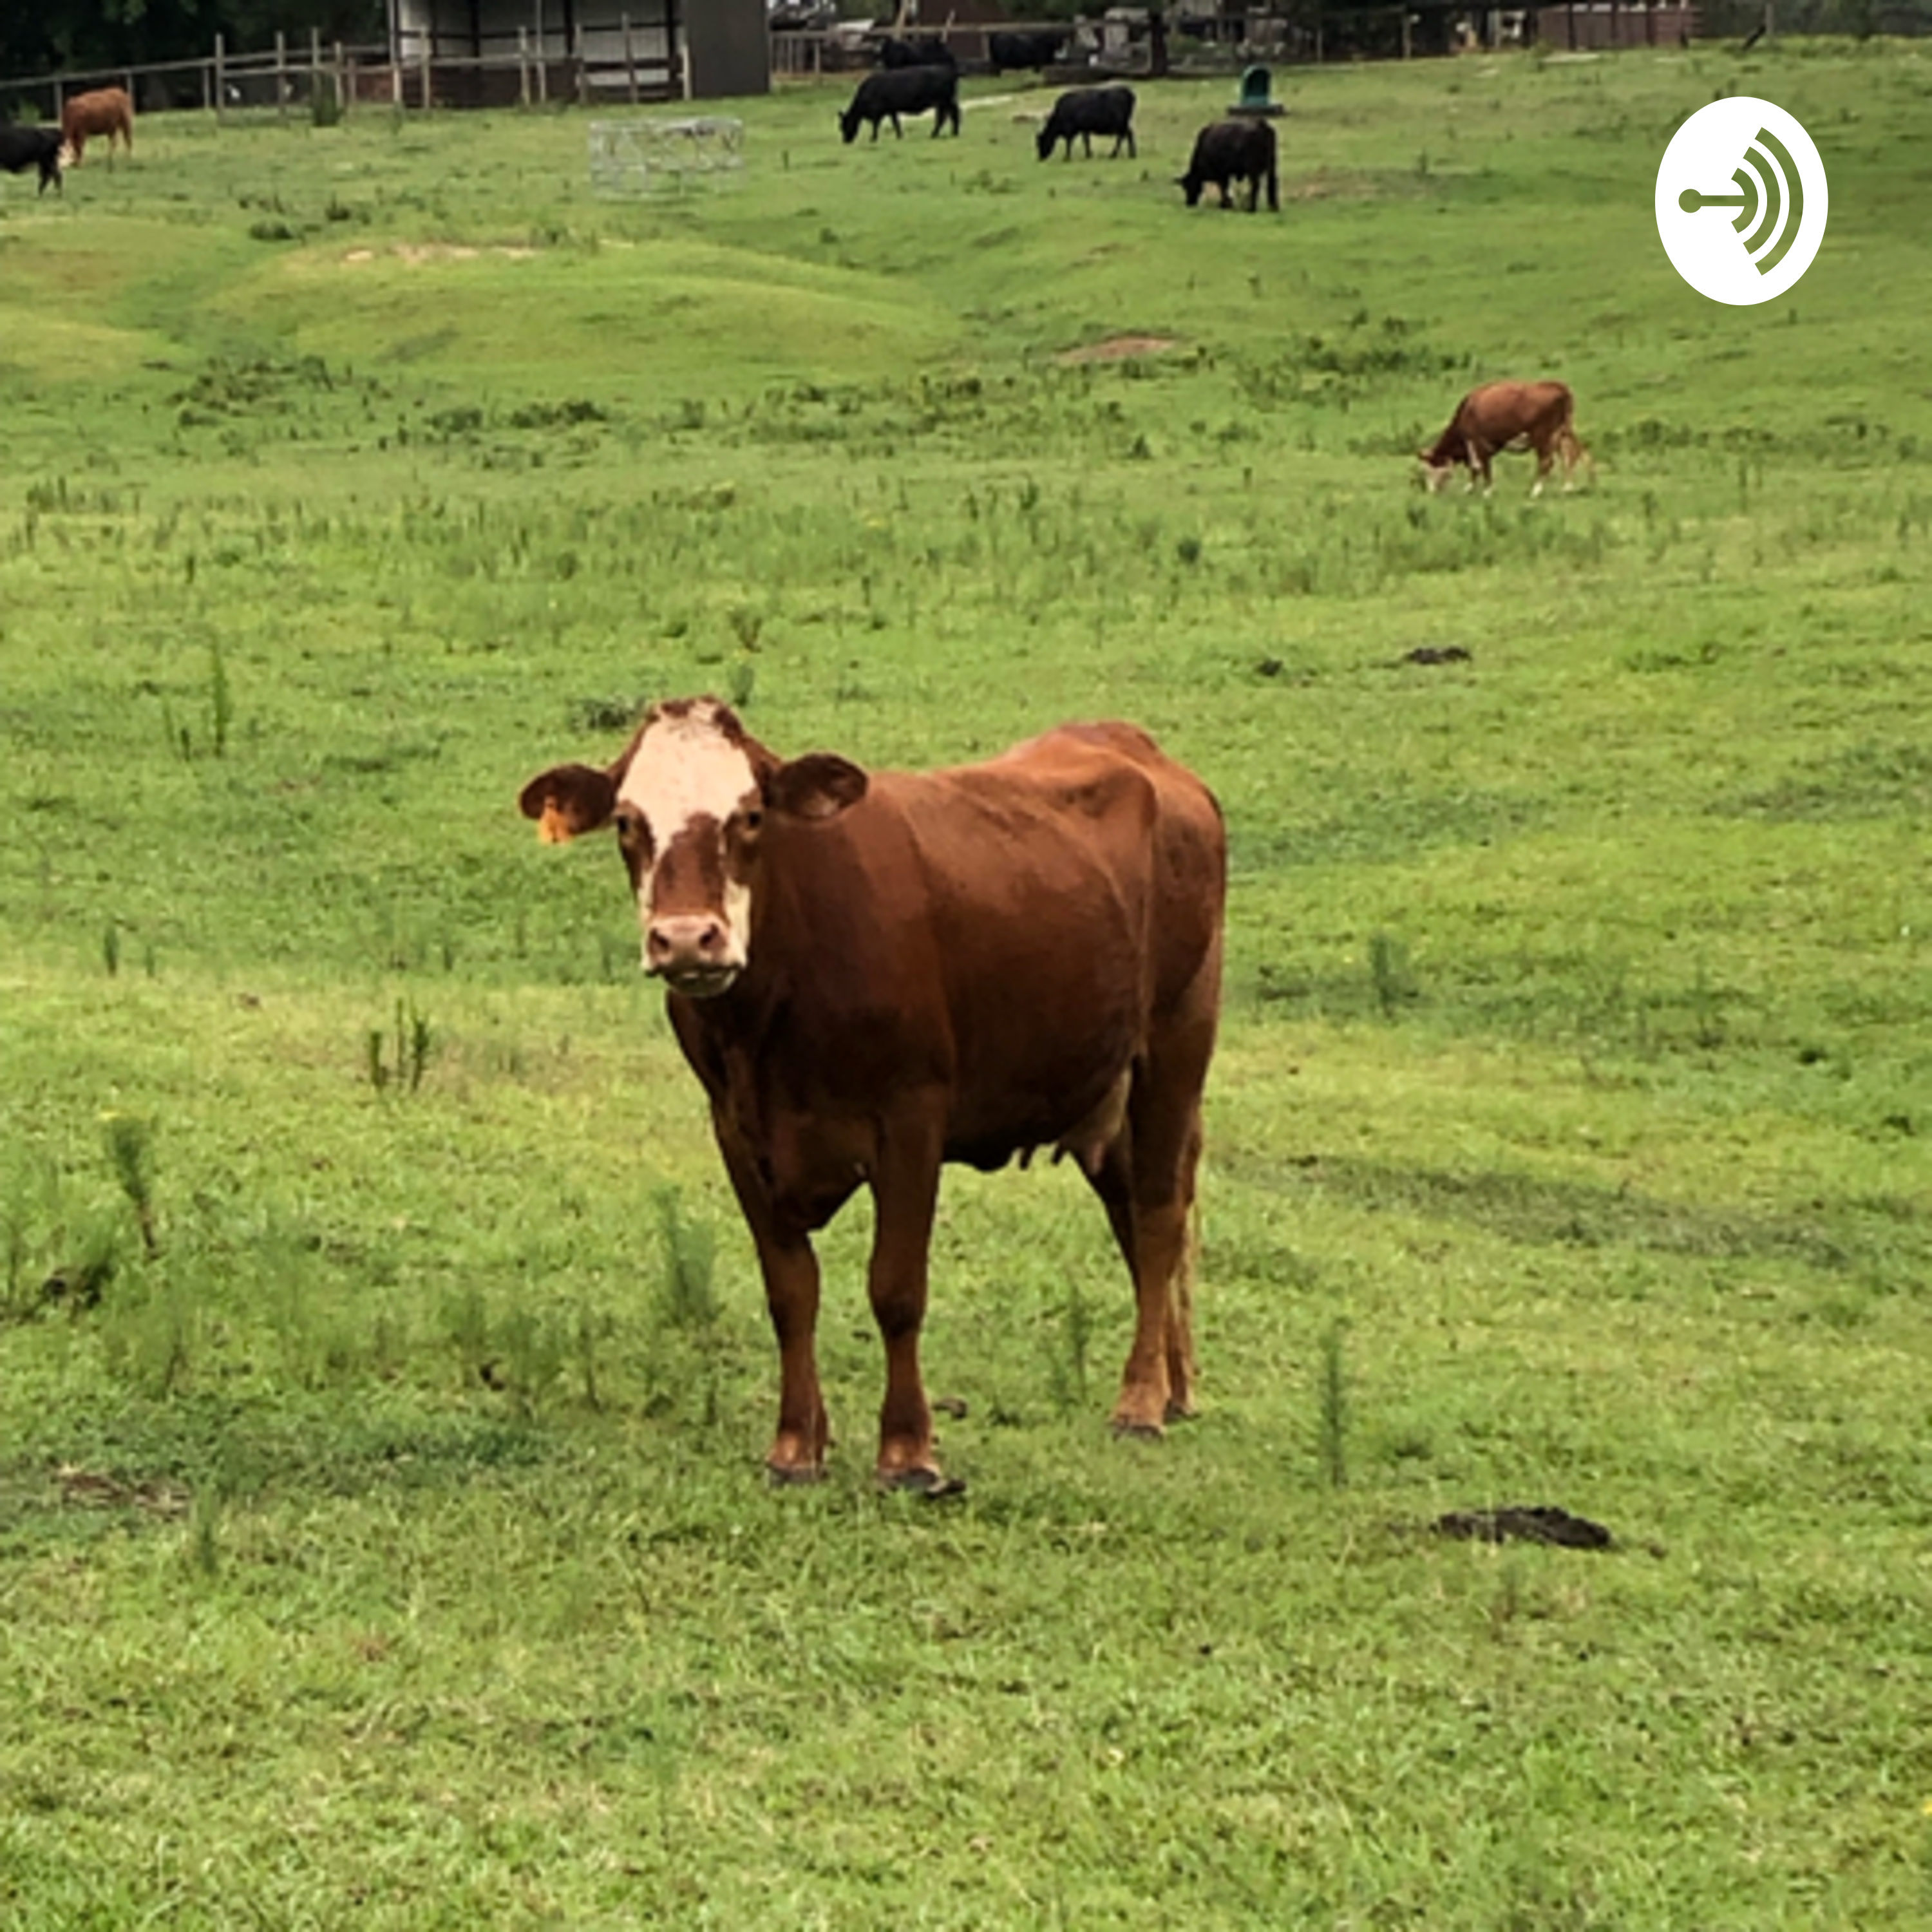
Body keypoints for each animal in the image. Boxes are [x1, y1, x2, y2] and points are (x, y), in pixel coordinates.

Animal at [519, 699, 1226, 1491]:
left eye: (751, 816)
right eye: (626, 822)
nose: (687, 940)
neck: (771, 1015)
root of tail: (1138, 749)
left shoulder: (912, 1118)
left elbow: (895, 1290)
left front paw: (908, 1452)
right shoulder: (736, 1129)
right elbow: (790, 1291)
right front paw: (796, 1445)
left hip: (1175, 1044)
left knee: (1160, 1217)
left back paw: (1140, 1402)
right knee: (1132, 1216)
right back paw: (1172, 1387)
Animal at [838, 64, 961, 143]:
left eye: (846, 125)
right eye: (841, 127)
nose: (845, 141)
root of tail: (949, 71)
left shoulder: (877, 112)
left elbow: (876, 125)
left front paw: (873, 138)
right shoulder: (891, 110)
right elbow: (896, 123)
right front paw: (900, 136)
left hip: (944, 101)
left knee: (945, 117)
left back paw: (935, 135)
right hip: (947, 101)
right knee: (953, 114)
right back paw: (952, 133)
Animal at [1036, 86, 1137, 162]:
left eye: (1041, 143)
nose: (1040, 158)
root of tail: (1127, 92)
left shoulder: (1070, 129)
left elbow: (1069, 142)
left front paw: (1067, 158)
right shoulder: (1084, 129)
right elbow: (1086, 141)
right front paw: (1089, 154)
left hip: (1121, 123)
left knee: (1126, 135)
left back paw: (1119, 154)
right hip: (1123, 124)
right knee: (1125, 135)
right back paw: (1126, 154)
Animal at [1177, 118, 1278, 211]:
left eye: (1187, 187)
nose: (1189, 203)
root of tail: (1261, 124)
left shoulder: (1221, 173)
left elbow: (1223, 187)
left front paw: (1225, 204)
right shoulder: (1225, 174)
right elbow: (1225, 187)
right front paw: (1227, 204)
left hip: (1253, 168)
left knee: (1256, 185)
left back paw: (1251, 208)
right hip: (1272, 166)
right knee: (1272, 183)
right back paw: (1274, 208)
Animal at [1417, 380, 1591, 496]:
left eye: (1431, 469)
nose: (1431, 491)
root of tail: (1557, 385)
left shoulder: (1478, 443)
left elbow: (1482, 467)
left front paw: (1486, 492)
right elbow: (1476, 468)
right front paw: (1470, 489)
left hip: (1542, 436)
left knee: (1547, 462)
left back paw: (1535, 491)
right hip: (1560, 434)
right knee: (1567, 458)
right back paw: (1567, 487)